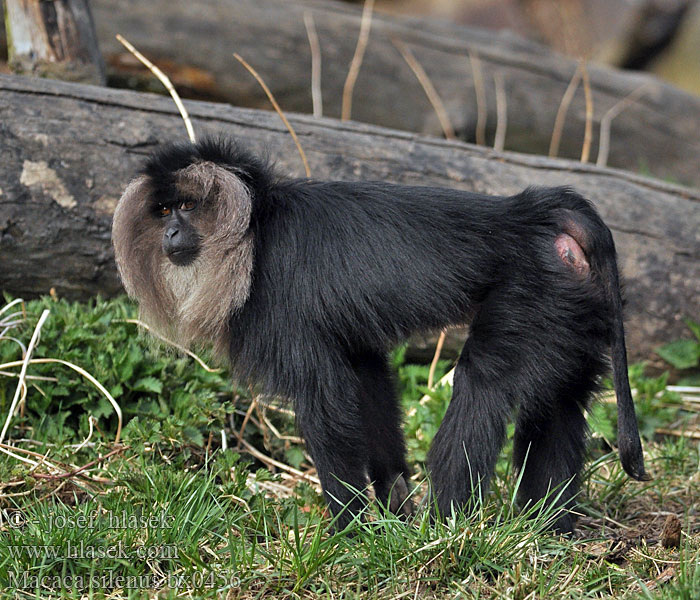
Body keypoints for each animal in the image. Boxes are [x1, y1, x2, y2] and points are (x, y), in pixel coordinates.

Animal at [112, 138, 648, 532]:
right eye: (164, 212)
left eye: (187, 205)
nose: (170, 235)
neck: (254, 233)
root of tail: (534, 212)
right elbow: (369, 382)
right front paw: (393, 508)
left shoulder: (284, 309)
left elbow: (326, 402)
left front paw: (348, 531)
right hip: (573, 304)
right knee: (560, 402)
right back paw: (546, 528)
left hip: (531, 291)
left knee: (483, 381)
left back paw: (445, 527)